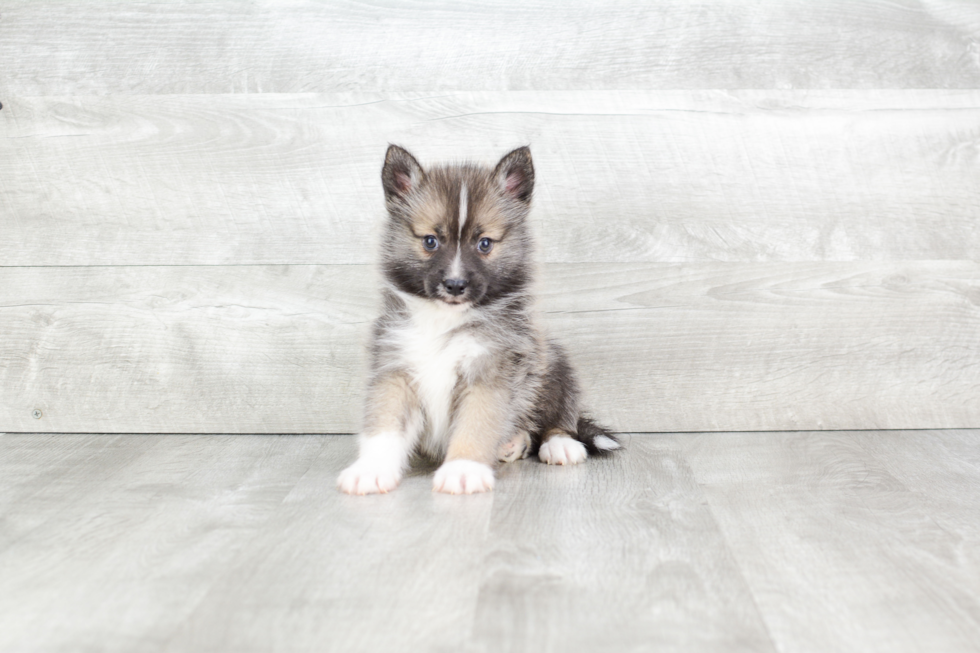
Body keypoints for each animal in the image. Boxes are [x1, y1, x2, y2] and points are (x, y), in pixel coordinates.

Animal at [336, 144, 620, 494]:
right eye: (430, 241)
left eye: (484, 243)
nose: (455, 285)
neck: (443, 319)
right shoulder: (396, 369)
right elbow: (384, 425)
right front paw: (371, 470)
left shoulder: (490, 372)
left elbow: (475, 425)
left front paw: (463, 469)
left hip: (554, 366)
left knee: (560, 418)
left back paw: (558, 445)